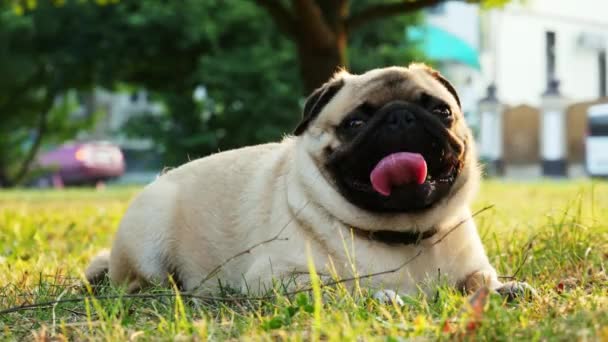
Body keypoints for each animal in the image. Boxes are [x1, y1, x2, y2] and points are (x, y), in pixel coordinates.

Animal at [85, 64, 532, 302]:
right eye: (354, 123)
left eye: (441, 111)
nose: (400, 116)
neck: (403, 235)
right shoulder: (282, 278)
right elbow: (343, 287)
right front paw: (384, 295)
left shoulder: (473, 269)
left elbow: (480, 281)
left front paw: (505, 289)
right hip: (149, 238)